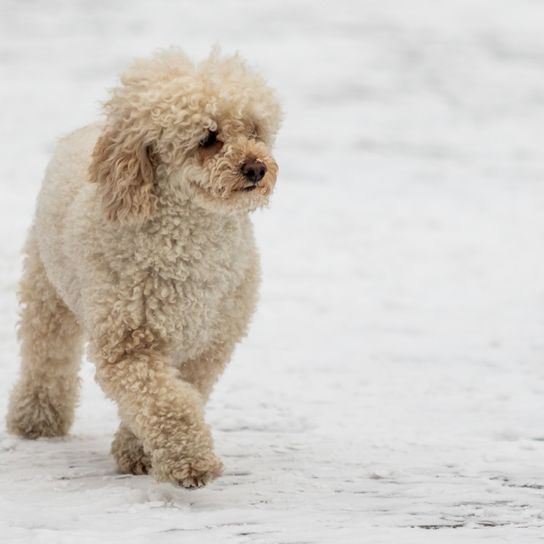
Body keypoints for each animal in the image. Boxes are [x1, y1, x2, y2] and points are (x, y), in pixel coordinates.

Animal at [6, 50, 282, 488]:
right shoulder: (129, 345)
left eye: (254, 129)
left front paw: (137, 453)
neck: (187, 241)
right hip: (47, 288)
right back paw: (37, 419)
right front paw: (190, 461)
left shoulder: (208, 346)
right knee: (47, 355)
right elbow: (165, 403)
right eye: (208, 138)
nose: (256, 168)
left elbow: (174, 396)